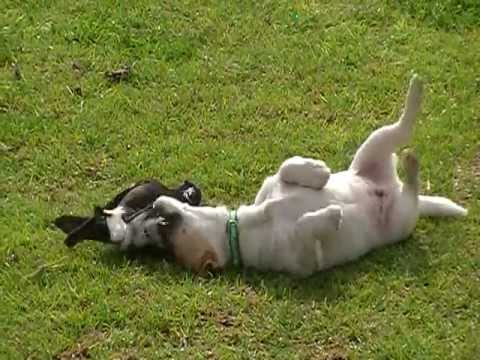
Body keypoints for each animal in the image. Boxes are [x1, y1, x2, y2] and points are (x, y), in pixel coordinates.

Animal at [107, 73, 466, 276]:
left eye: (160, 227)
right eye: (158, 238)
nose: (155, 207)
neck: (241, 226)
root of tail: (389, 187)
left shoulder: (272, 185)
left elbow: (285, 167)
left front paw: (318, 171)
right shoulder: (305, 262)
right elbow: (308, 228)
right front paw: (331, 215)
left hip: (372, 147)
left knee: (402, 127)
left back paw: (416, 93)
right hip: (402, 218)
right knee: (411, 183)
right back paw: (411, 163)